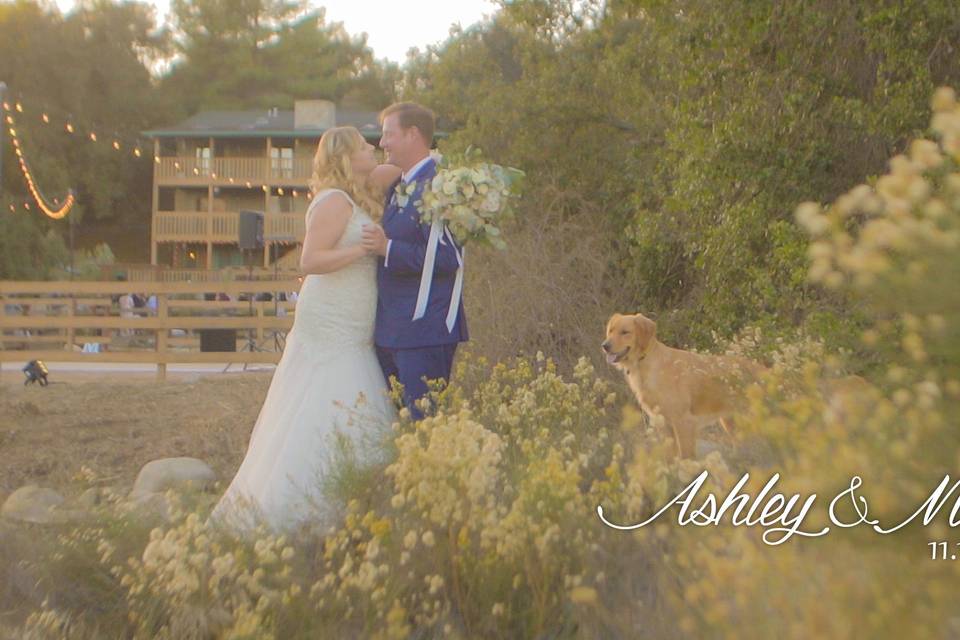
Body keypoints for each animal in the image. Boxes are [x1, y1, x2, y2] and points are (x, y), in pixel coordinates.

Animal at [600, 312, 764, 458]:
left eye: (625, 332)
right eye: (610, 331)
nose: (605, 346)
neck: (644, 363)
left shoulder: (683, 421)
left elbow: (686, 456)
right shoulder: (664, 424)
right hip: (730, 421)